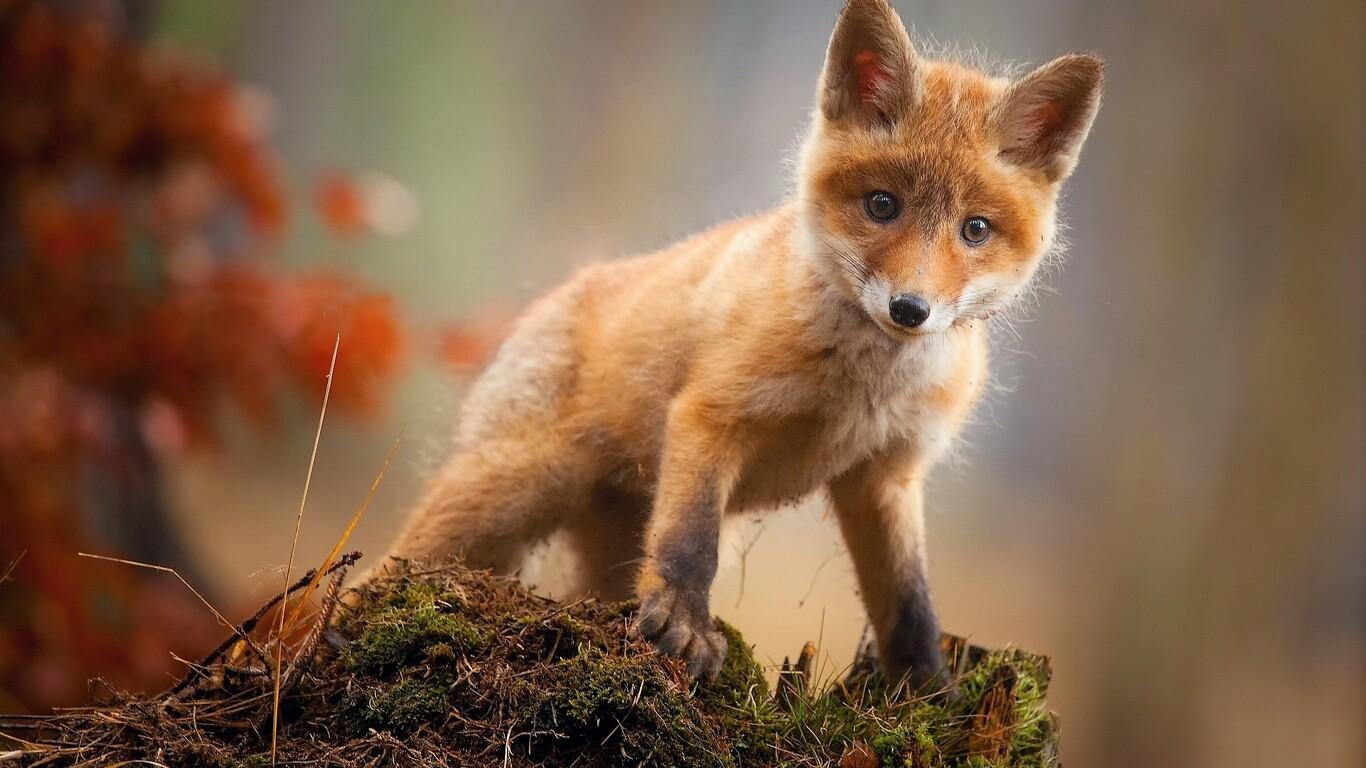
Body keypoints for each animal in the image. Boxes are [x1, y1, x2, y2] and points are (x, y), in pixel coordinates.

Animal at [378, 0, 1102, 689]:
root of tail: (555, 295)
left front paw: (930, 694)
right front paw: (684, 626)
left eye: (975, 229)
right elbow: (691, 542)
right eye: (882, 205)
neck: (860, 389)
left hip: (603, 541)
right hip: (506, 494)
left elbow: (910, 605)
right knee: (385, 571)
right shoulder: (713, 415)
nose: (909, 309)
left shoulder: (886, 475)